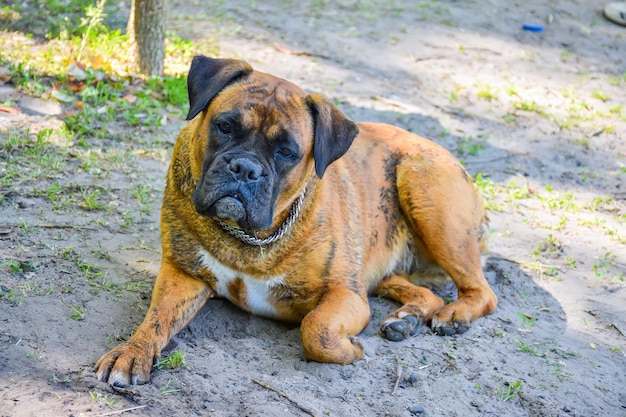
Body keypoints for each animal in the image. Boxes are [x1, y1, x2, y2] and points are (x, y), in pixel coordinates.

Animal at [95, 56, 494, 386]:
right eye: (224, 127)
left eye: (287, 152)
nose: (245, 168)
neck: (252, 238)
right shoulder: (183, 274)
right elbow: (156, 318)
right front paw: (131, 353)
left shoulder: (345, 294)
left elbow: (315, 328)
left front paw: (349, 349)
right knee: (425, 291)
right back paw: (406, 318)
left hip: (429, 197)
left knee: (483, 292)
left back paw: (454, 315)